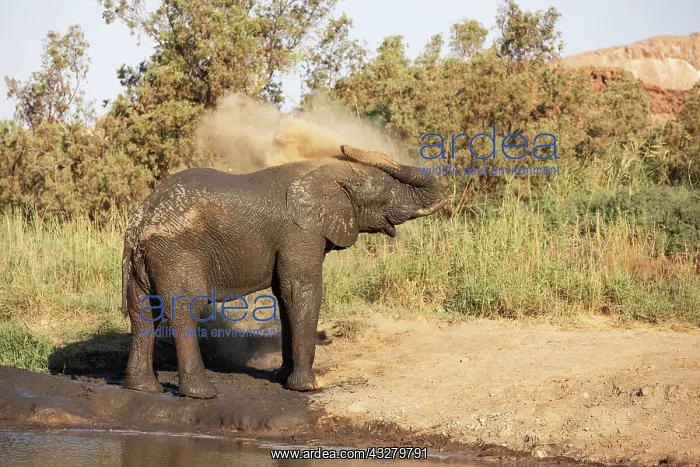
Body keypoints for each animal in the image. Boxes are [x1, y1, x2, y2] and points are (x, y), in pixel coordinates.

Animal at [121, 145, 447, 398]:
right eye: (385, 193)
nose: (344, 146)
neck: (324, 172)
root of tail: (140, 223)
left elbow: (284, 294)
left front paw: (282, 378)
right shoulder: (300, 232)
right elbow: (300, 290)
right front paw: (307, 387)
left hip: (145, 262)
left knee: (143, 314)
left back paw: (143, 389)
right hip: (177, 254)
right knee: (187, 309)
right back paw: (203, 394)